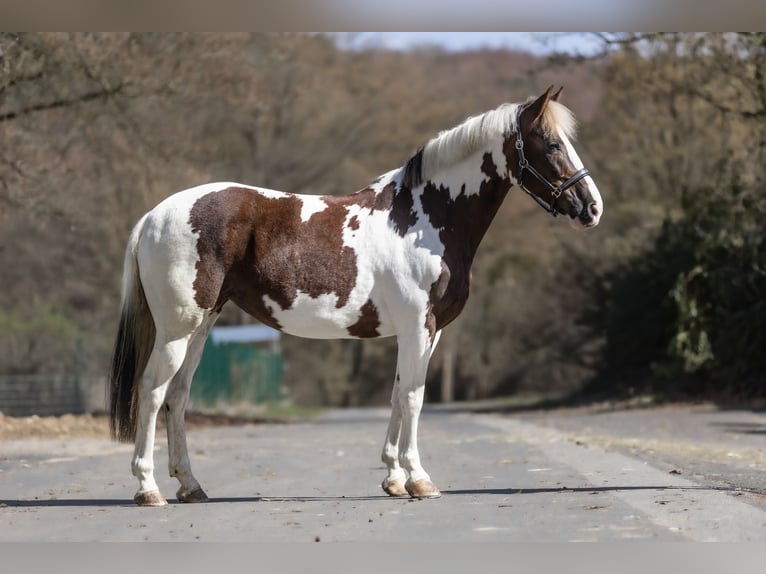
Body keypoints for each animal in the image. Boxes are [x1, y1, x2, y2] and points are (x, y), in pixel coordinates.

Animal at [108, 86, 603, 506]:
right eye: (551, 144)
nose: (591, 207)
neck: (426, 217)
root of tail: (153, 216)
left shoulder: (427, 332)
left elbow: (399, 394)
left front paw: (394, 478)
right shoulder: (418, 327)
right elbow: (414, 398)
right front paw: (419, 479)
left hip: (202, 325)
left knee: (178, 396)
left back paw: (190, 486)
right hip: (177, 329)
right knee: (152, 391)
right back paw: (148, 488)